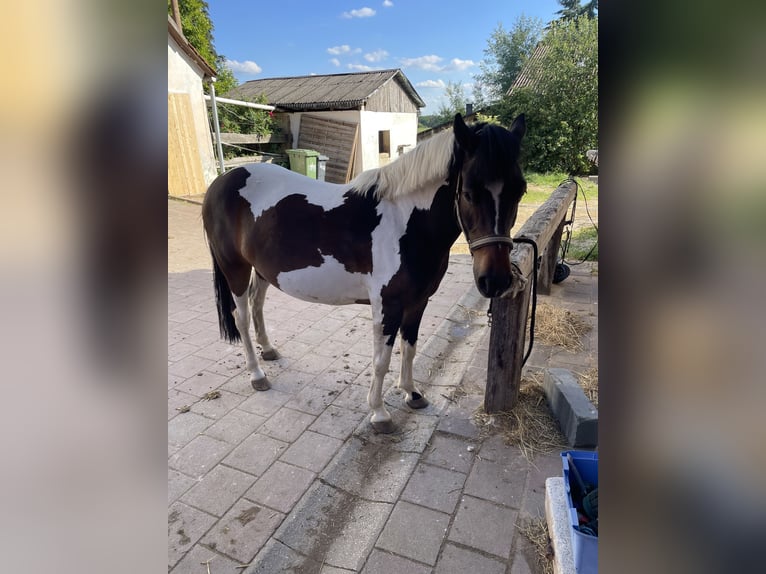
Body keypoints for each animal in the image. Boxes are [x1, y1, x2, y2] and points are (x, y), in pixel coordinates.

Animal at [201, 113, 527, 433]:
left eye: (520, 191)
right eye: (469, 193)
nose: (495, 280)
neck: (406, 223)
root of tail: (222, 181)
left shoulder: (418, 302)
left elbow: (410, 347)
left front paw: (412, 394)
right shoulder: (388, 305)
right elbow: (381, 360)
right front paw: (379, 414)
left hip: (263, 271)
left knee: (257, 304)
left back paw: (269, 350)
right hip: (235, 269)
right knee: (242, 317)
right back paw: (257, 374)